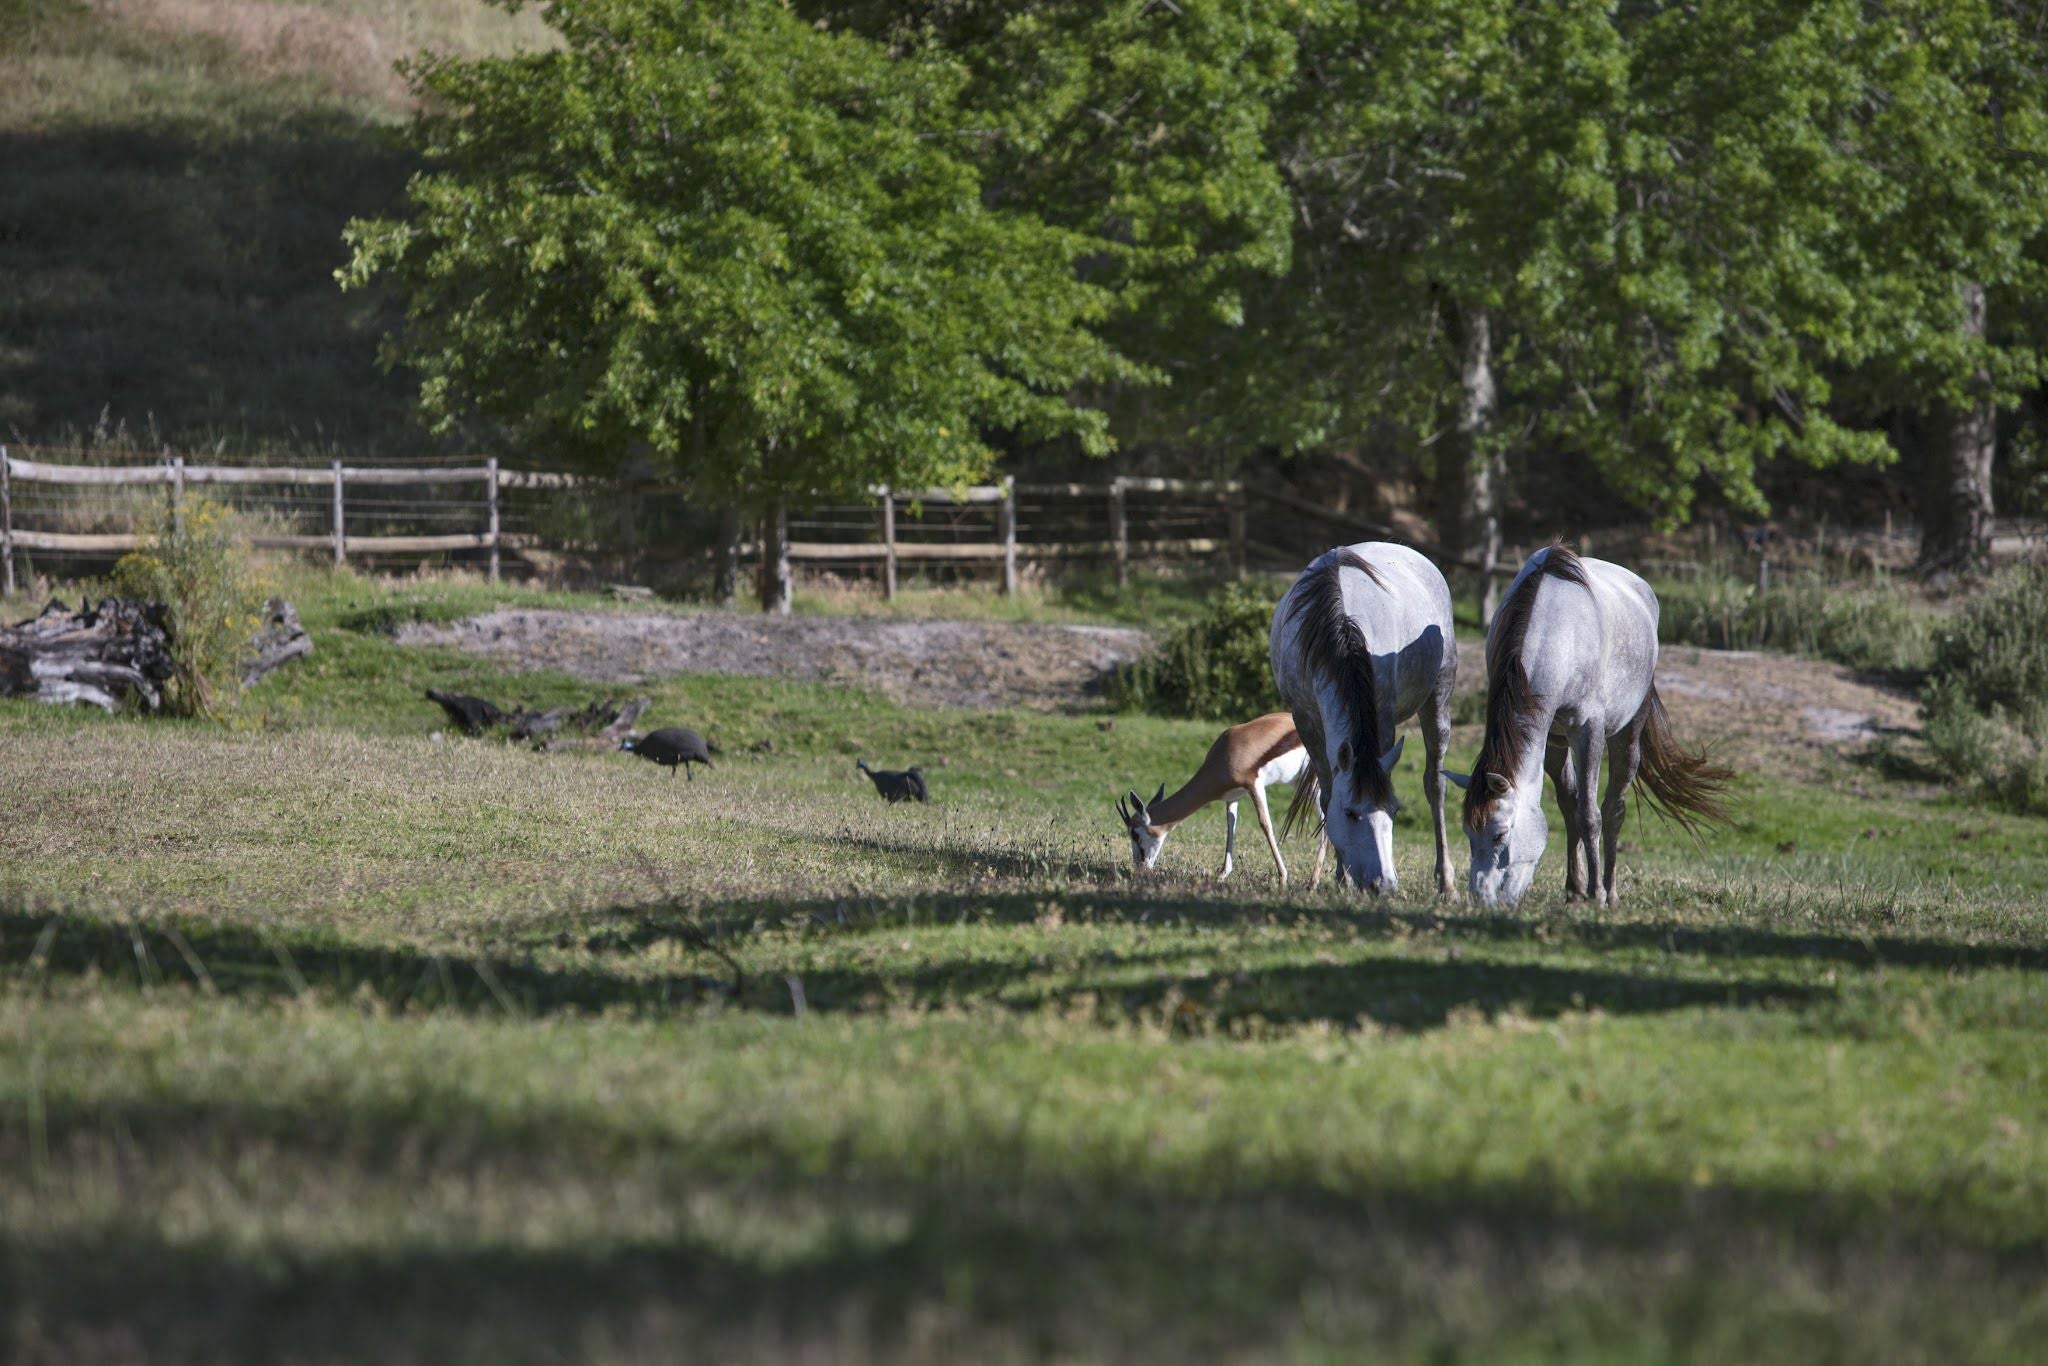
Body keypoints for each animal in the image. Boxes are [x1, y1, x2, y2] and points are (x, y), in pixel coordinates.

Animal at [1122, 712, 1327, 892]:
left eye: (1135, 834)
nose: (1139, 869)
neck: (1226, 754)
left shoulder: (1254, 785)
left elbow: (1265, 825)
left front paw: (1283, 879)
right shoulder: (1233, 796)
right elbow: (1231, 826)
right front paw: (1222, 874)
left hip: (1311, 783)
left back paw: (1313, 883)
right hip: (1300, 783)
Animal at [1269, 544, 1466, 897]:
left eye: (1394, 810)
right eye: (1350, 813)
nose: (1384, 884)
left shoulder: (1383, 716)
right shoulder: (1305, 719)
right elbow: (1327, 795)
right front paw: (1341, 876)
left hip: (1440, 693)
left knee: (1436, 784)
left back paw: (1446, 882)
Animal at [1449, 544, 1736, 909]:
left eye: (1500, 834)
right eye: (1468, 834)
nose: (1480, 897)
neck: (1557, 636)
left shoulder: (1588, 733)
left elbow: (1589, 815)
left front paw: (1596, 893)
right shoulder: (1552, 739)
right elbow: (1571, 808)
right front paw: (1575, 890)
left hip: (1627, 736)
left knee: (1613, 809)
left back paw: (1610, 891)